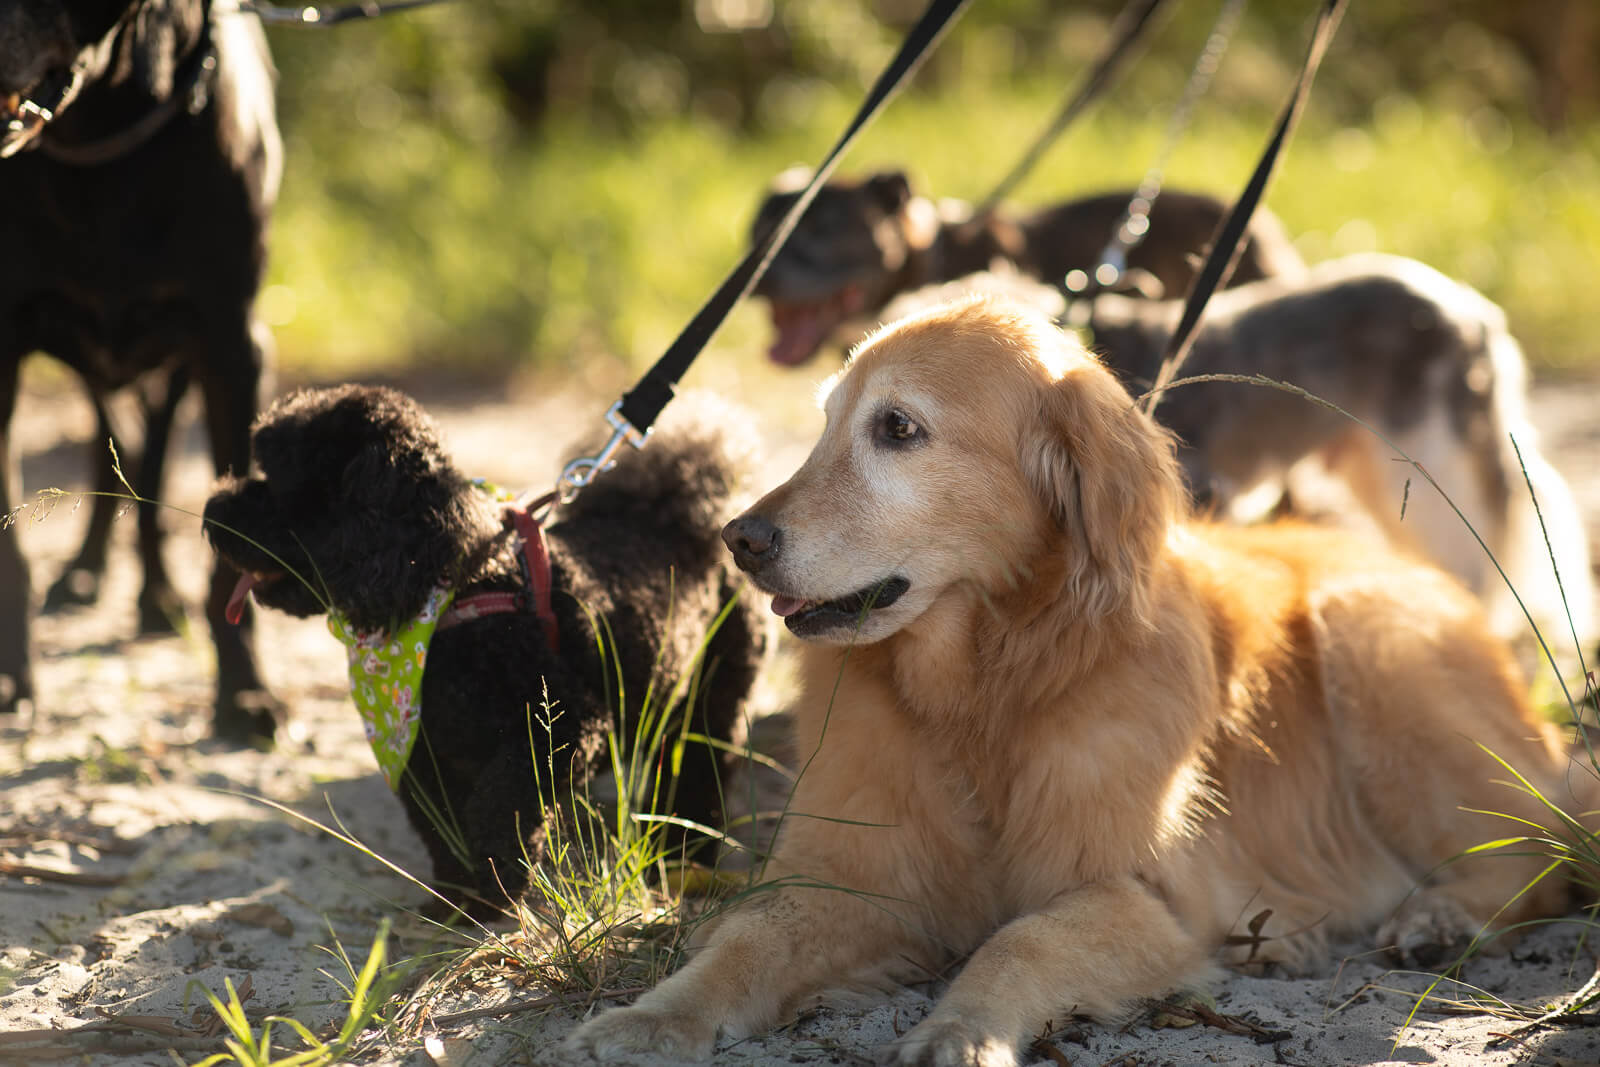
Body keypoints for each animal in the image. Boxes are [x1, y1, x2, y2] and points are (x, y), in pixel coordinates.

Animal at [1, 0, 283, 739]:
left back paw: (154, 596)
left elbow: (230, 546)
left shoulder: (230, 346)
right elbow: (11, 552)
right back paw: (84, 570)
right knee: (116, 446)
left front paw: (244, 692)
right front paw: (13, 680)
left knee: (149, 457)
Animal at [204, 388, 768, 915]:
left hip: (713, 693)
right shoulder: (426, 757)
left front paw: (498, 889)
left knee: (701, 767)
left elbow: (499, 808)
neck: (454, 592)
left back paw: (681, 856)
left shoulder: (561, 730)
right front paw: (457, 901)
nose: (211, 513)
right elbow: (444, 827)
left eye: (277, 479)